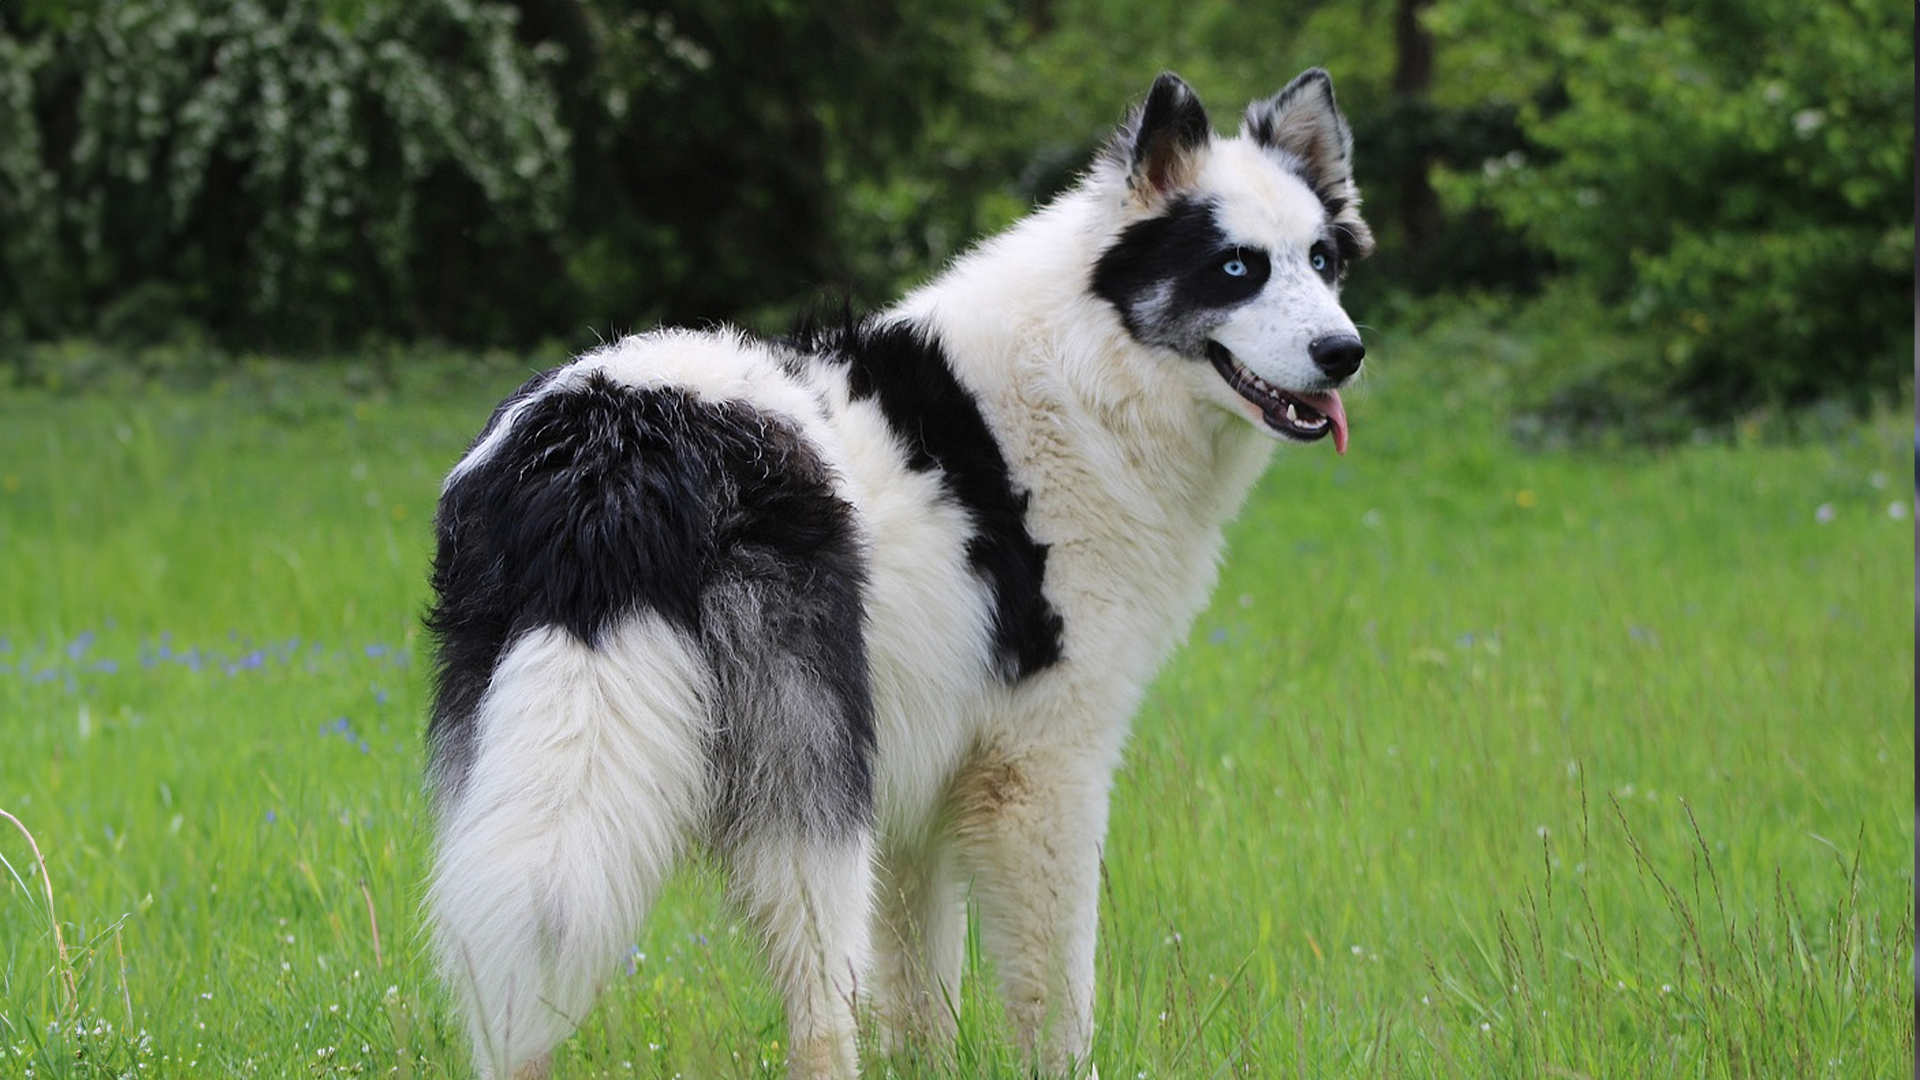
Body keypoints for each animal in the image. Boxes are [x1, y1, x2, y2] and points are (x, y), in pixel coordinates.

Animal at [428, 69, 1374, 1076]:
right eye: (1236, 268)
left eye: (1321, 261)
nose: (1343, 354)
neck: (1088, 369)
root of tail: (615, 442)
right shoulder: (1043, 773)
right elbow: (1057, 995)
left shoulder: (918, 795)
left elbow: (922, 998)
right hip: (809, 800)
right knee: (819, 1016)